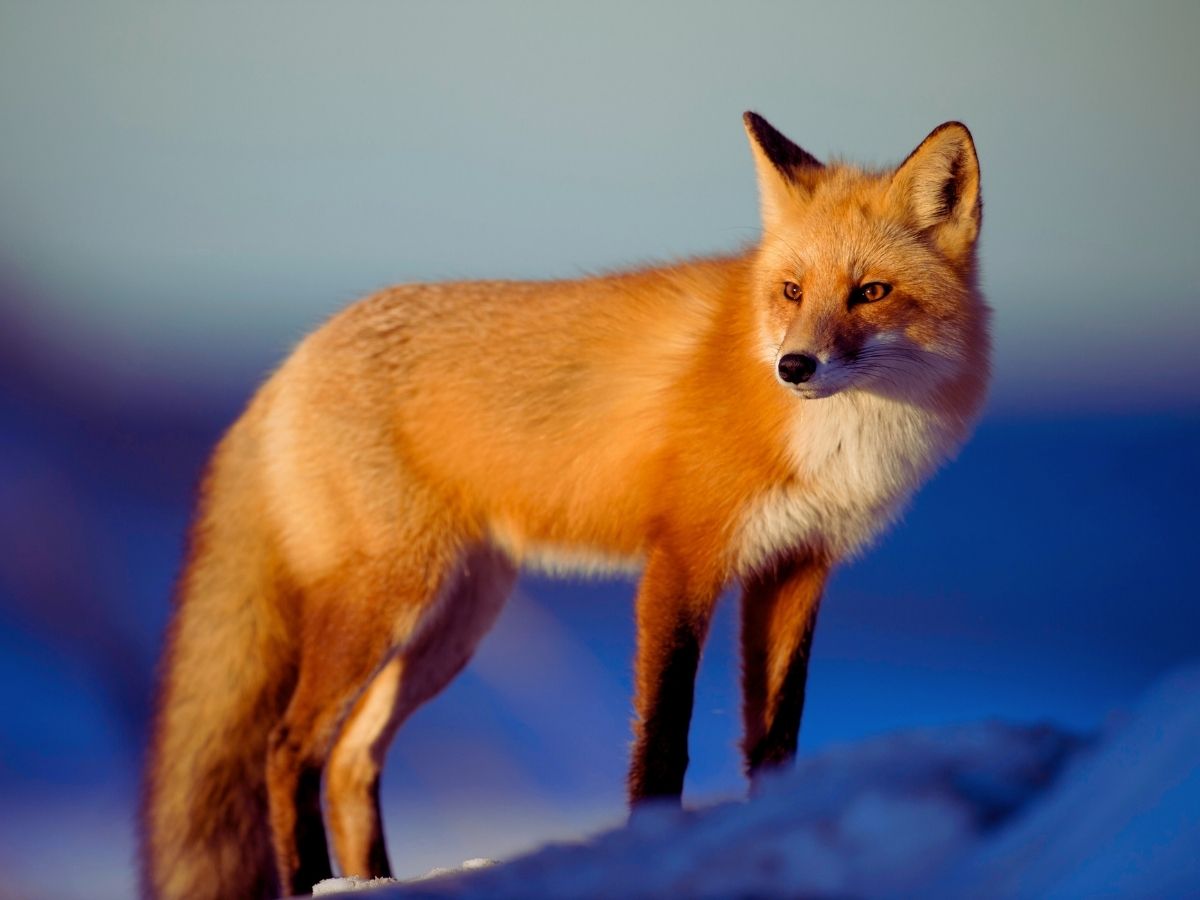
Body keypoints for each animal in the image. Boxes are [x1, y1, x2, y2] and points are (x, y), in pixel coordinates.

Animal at [140, 112, 989, 898]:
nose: (795, 366)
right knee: (289, 748)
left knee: (352, 758)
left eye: (871, 292)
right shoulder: (682, 559)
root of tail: (290, 363)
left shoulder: (796, 567)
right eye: (791, 291)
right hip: (386, 601)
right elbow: (663, 739)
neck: (837, 441)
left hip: (455, 621)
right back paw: (314, 880)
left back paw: (376, 881)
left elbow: (776, 738)